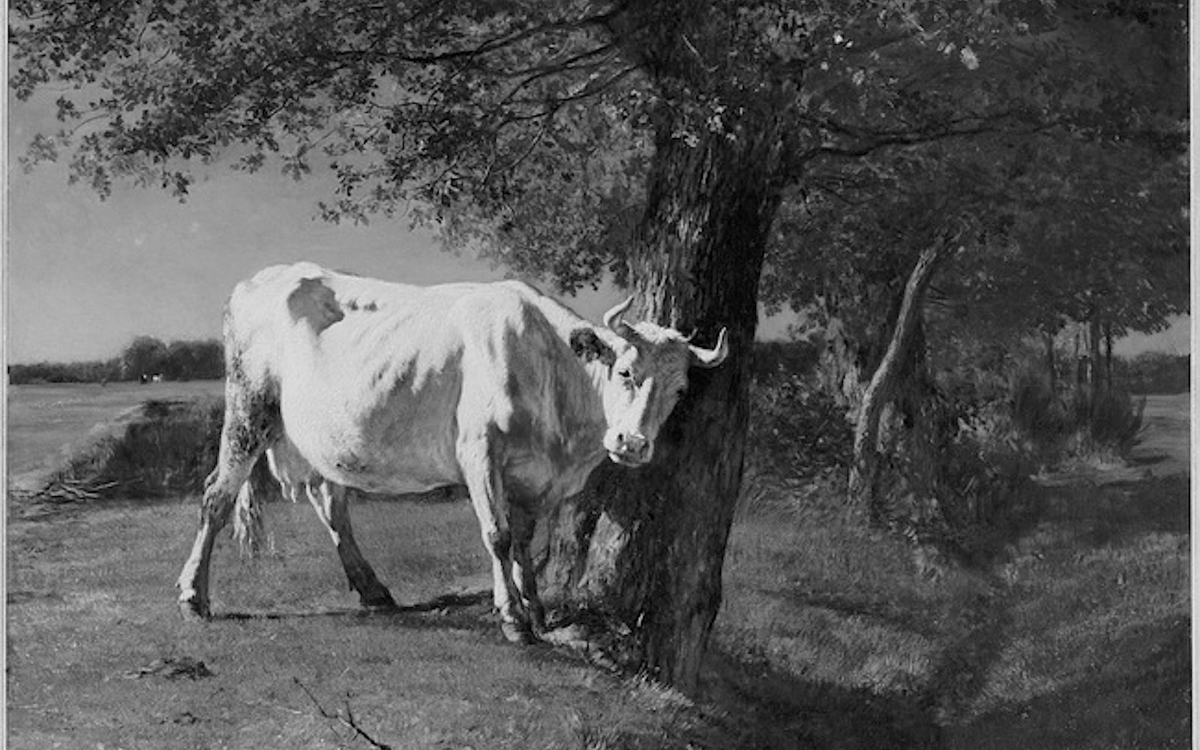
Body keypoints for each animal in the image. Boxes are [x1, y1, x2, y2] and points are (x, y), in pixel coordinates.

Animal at [176, 262, 728, 642]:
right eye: (625, 372)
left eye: (680, 391)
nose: (631, 444)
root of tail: (263, 277)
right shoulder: (479, 450)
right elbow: (498, 535)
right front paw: (512, 619)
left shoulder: (538, 477)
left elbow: (525, 540)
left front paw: (537, 610)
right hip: (248, 408)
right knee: (217, 496)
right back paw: (193, 596)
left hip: (323, 439)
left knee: (331, 505)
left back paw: (373, 589)